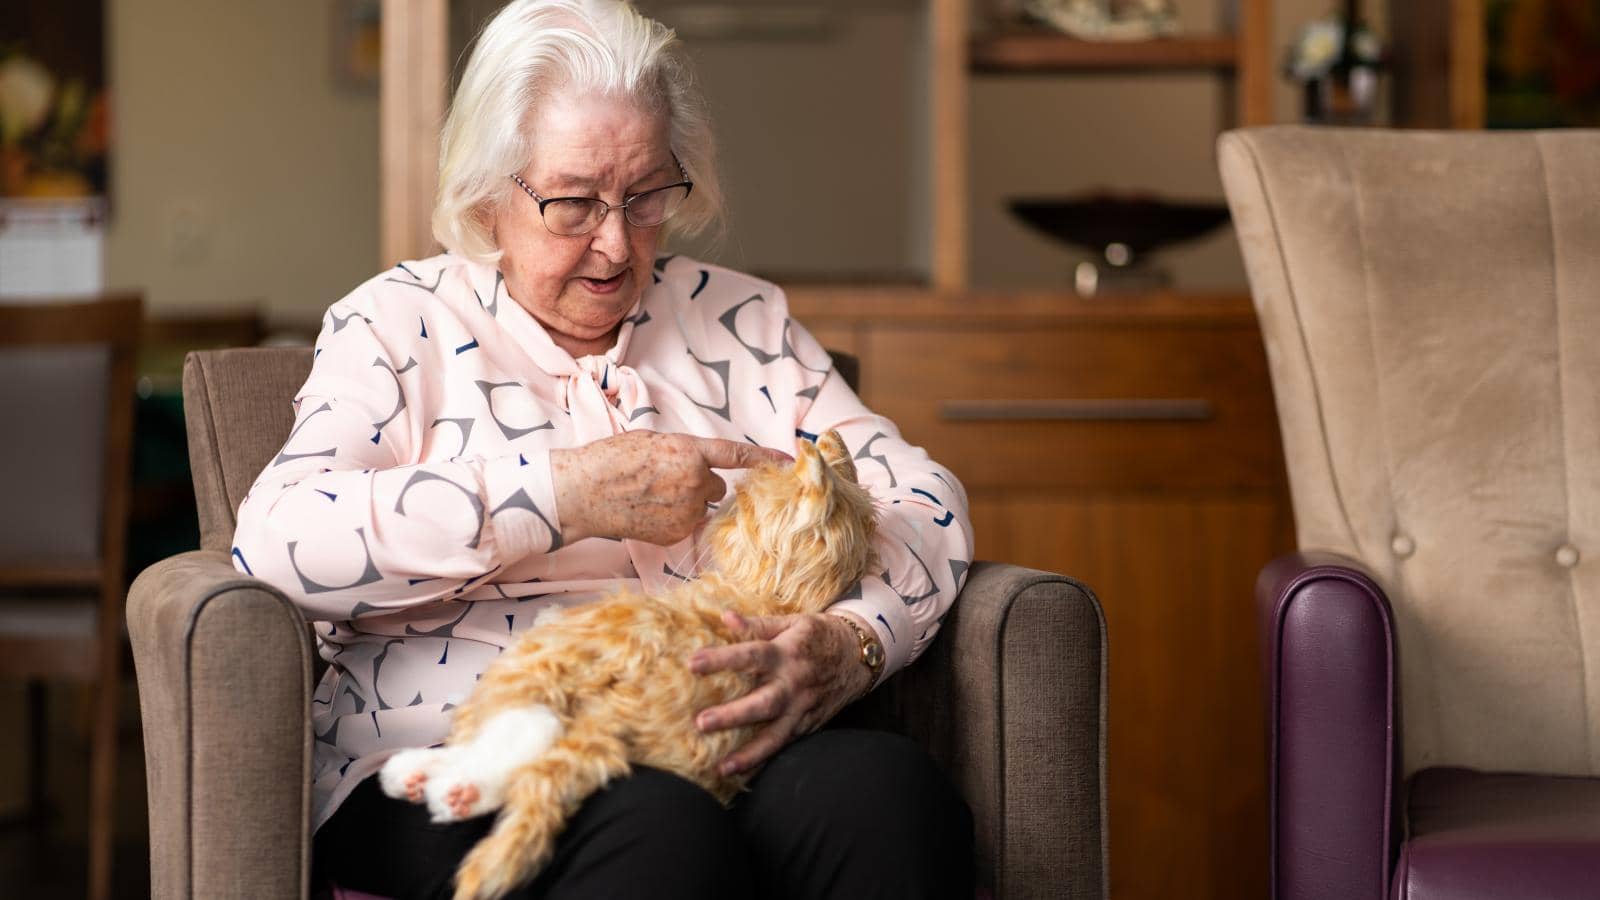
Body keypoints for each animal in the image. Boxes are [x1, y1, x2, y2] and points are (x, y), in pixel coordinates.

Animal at [374, 429, 876, 896]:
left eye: (748, 504)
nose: (726, 504)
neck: (772, 598)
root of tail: (621, 716)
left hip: (542, 659)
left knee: (519, 729)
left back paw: (430, 779)